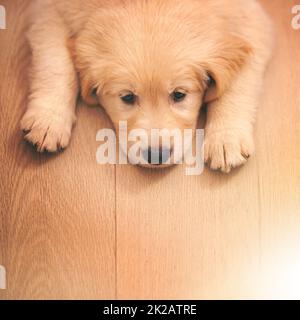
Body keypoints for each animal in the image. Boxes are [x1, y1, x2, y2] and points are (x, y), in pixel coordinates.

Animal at [21, 0, 274, 172]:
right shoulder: (48, 10)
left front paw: (226, 139)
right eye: (127, 97)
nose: (156, 156)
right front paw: (48, 120)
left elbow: (237, 84)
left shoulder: (250, 19)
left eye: (179, 95)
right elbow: (54, 60)